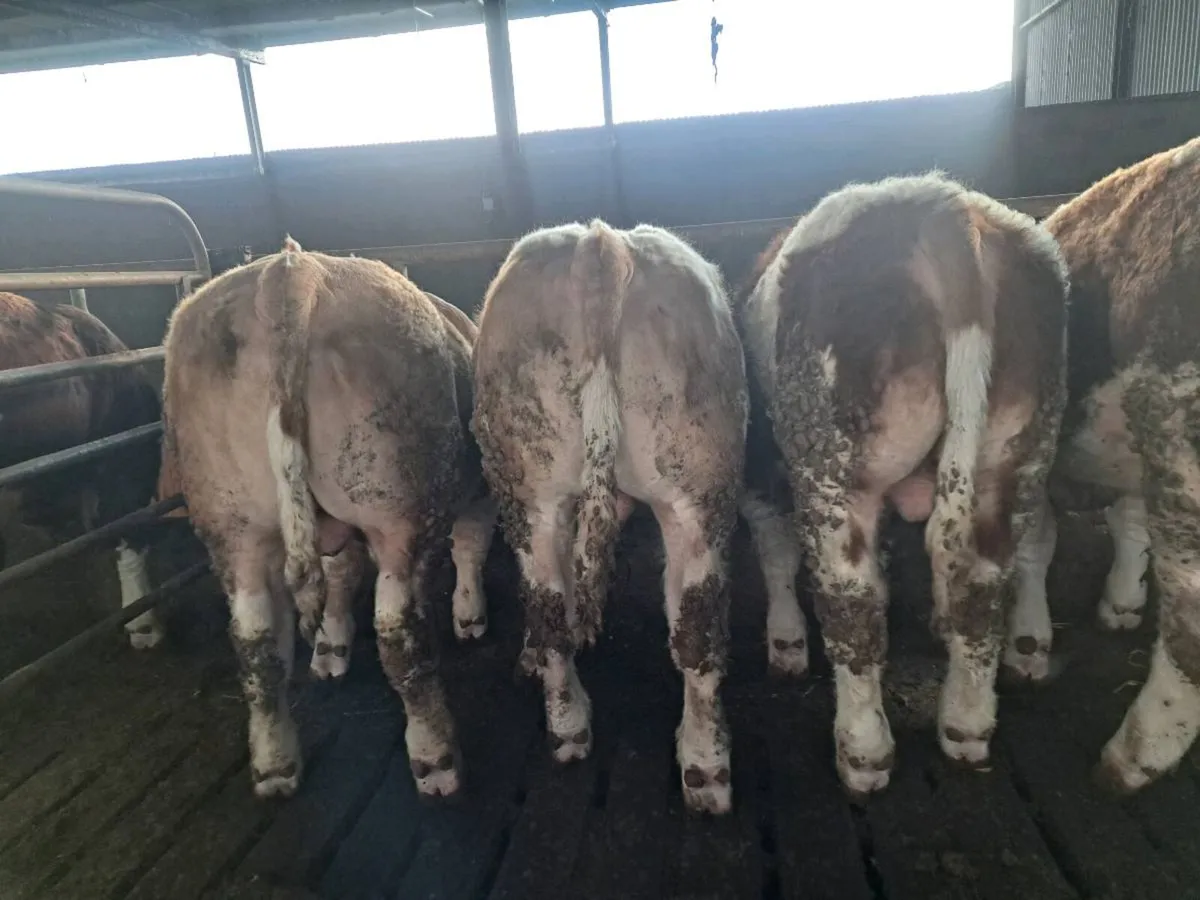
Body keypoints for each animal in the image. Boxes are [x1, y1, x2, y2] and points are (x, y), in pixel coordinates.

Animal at [161, 238, 494, 799]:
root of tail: (293, 273)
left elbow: (339, 574)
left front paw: (330, 644)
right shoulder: (478, 494)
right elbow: (470, 547)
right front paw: (470, 616)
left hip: (233, 522)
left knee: (256, 643)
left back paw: (275, 762)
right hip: (398, 511)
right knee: (399, 635)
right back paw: (436, 757)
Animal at [473, 220, 748, 815]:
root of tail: (600, 246)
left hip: (533, 487)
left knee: (552, 611)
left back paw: (569, 728)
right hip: (698, 493)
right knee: (695, 632)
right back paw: (705, 767)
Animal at [738, 174, 1069, 797]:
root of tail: (944, 211)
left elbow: (777, 554)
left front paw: (785, 643)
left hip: (835, 468)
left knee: (852, 602)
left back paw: (863, 752)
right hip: (1016, 456)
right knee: (983, 587)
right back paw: (965, 725)